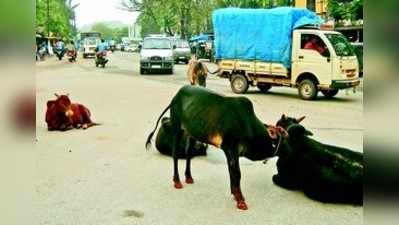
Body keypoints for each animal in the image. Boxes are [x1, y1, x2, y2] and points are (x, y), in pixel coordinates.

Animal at [148, 85, 284, 210]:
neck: (248, 125)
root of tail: (177, 95)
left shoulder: (231, 152)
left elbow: (232, 172)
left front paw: (235, 194)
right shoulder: (231, 148)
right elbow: (237, 173)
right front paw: (240, 199)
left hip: (191, 133)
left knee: (188, 153)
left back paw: (189, 177)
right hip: (177, 128)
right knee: (175, 154)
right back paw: (177, 181)